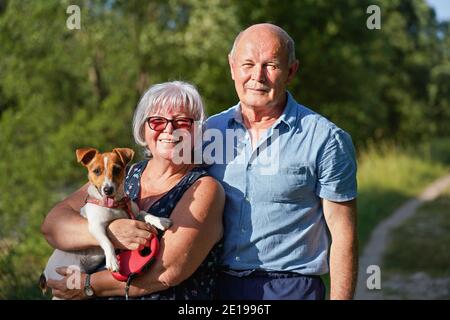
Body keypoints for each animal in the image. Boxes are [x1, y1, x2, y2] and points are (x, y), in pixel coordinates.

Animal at [39, 148, 172, 296]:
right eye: (96, 171)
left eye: (117, 169)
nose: (108, 189)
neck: (115, 206)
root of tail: (44, 274)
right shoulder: (96, 226)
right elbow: (107, 242)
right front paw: (113, 261)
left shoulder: (133, 214)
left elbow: (144, 213)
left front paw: (161, 221)